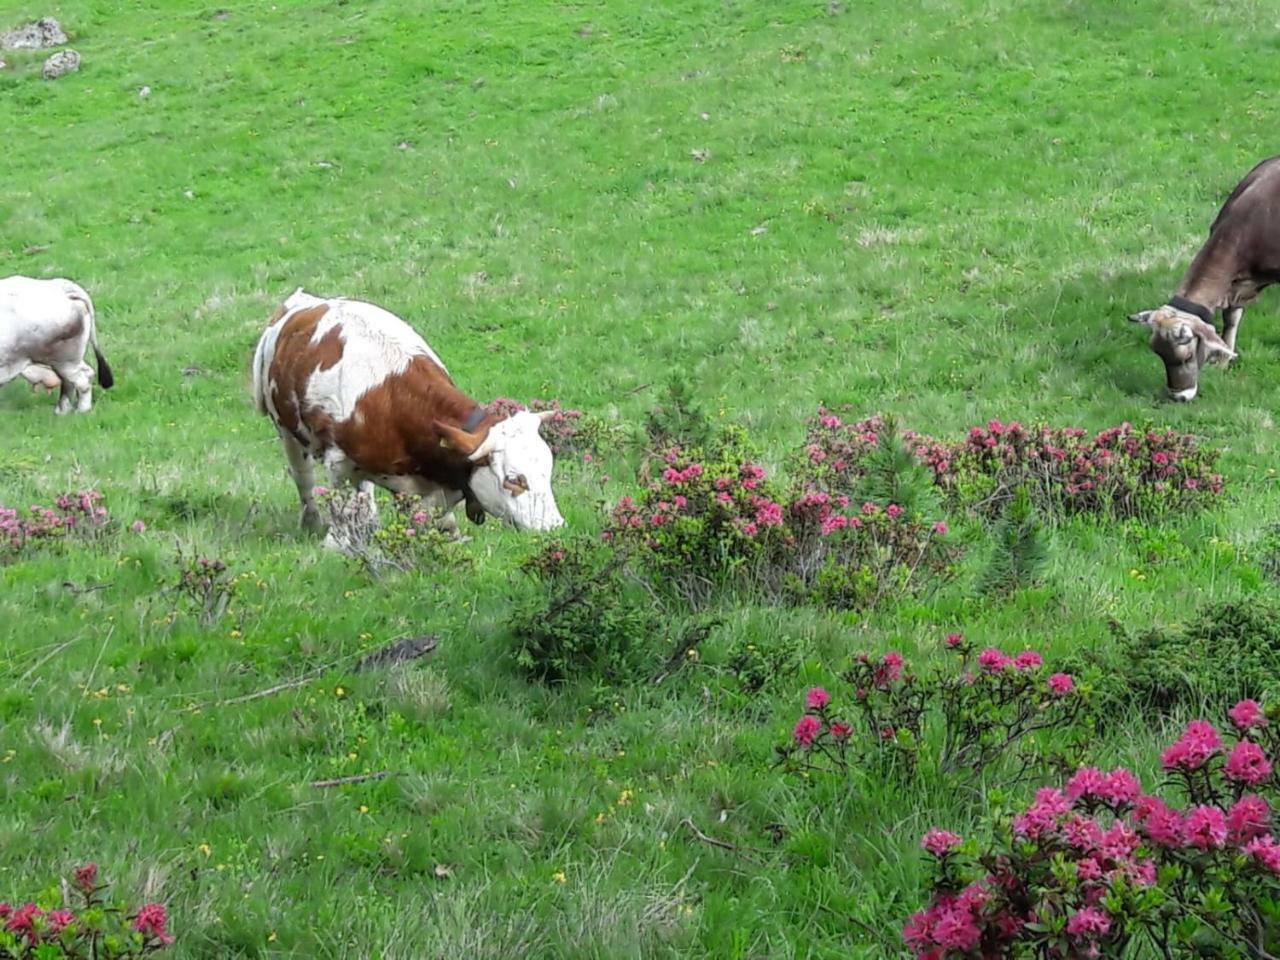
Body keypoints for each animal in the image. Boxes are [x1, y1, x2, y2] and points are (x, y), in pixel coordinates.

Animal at [0, 276, 115, 414]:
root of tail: (62, 286)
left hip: (65, 360)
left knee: (82, 379)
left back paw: (80, 411)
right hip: (66, 361)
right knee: (74, 380)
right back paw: (62, 412)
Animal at [249, 289, 565, 537]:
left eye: (548, 470)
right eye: (514, 478)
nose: (554, 526)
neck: (392, 398)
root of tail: (303, 301)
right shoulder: (337, 464)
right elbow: (343, 515)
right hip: (285, 429)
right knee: (304, 479)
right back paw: (312, 522)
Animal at [1126, 154, 1280, 401]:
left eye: (1187, 357)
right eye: (1159, 355)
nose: (1179, 397)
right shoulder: (1236, 286)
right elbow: (1231, 320)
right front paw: (1223, 363)